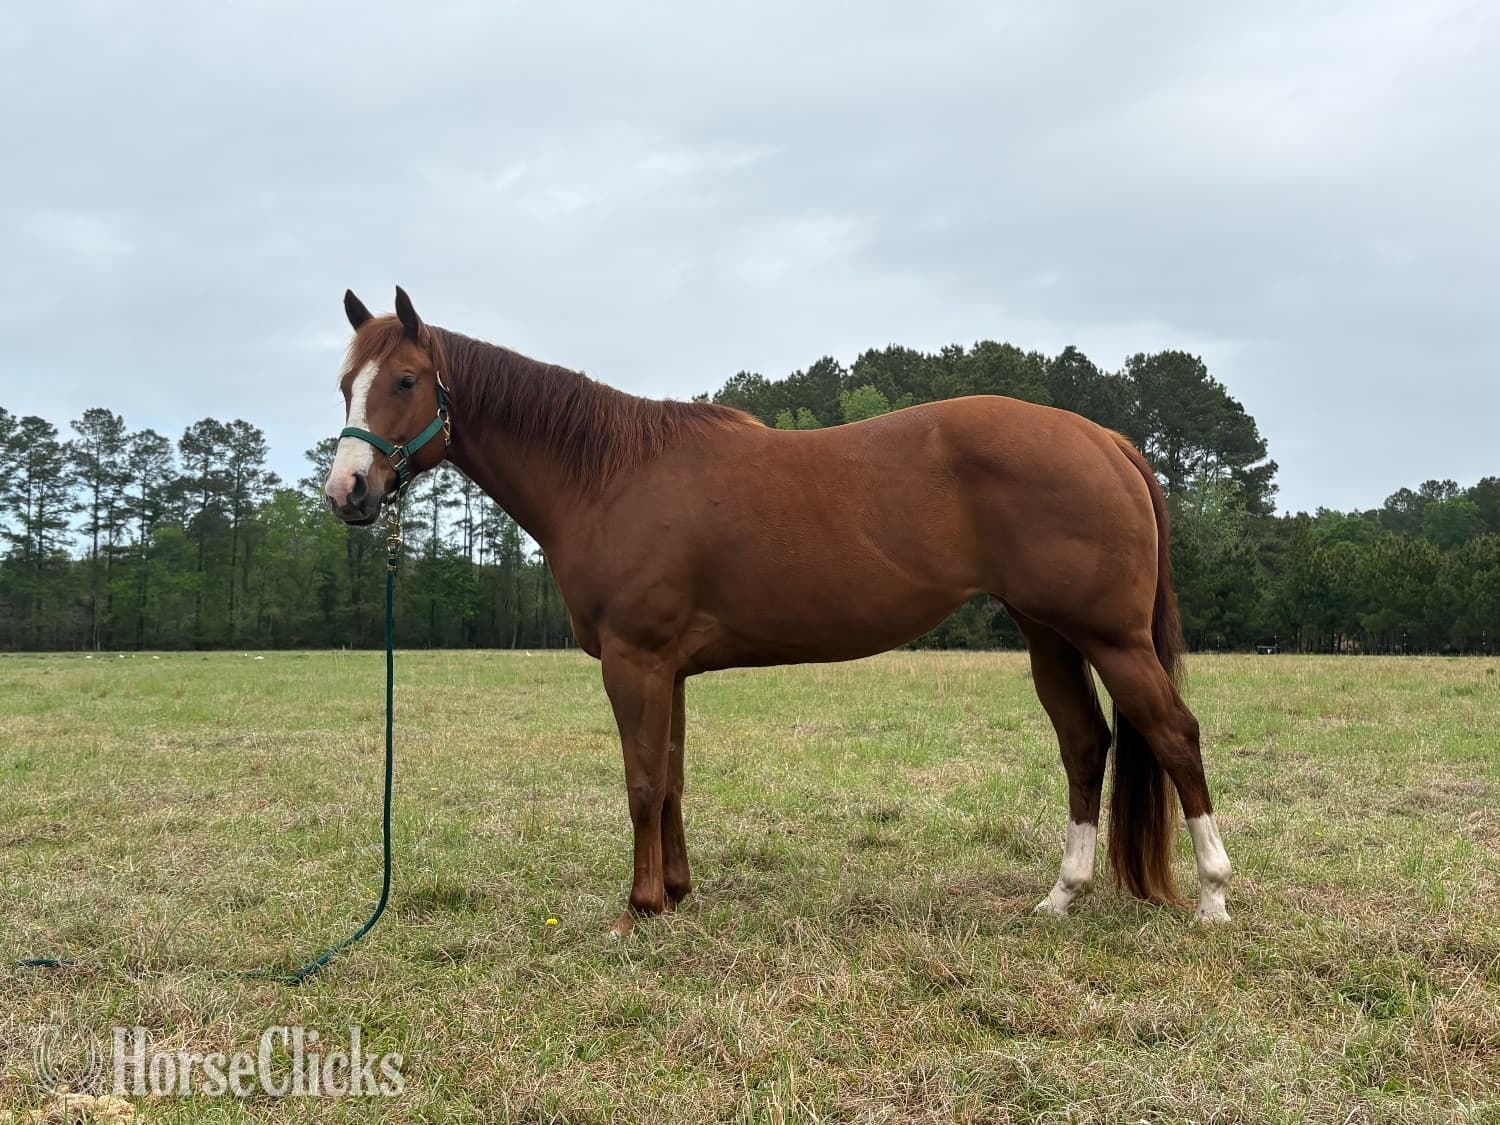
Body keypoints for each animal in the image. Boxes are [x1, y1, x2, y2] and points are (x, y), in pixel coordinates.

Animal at [324, 287, 1232, 937]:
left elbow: (641, 780)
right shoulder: (668, 669)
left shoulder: (634, 660)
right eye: (344, 385)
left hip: (1112, 638)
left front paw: (638, 907)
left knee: (1174, 733)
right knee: (1085, 744)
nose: (348, 492)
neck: (609, 475)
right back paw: (1061, 895)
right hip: (1050, 636)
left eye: (405, 381)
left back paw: (1214, 897)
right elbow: (672, 779)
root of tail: (1105, 439)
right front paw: (676, 891)